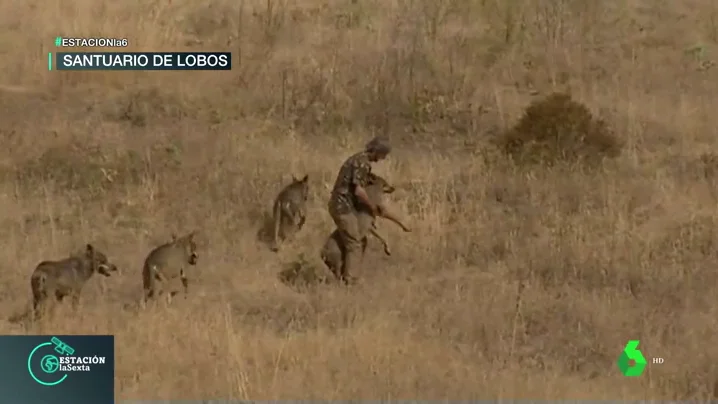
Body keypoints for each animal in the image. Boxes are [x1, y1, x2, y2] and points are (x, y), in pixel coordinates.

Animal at [328, 136, 410, 284]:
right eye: (385, 184)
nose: (393, 188)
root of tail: (321, 252)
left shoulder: (371, 224)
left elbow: (381, 234)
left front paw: (387, 248)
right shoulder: (380, 210)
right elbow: (395, 218)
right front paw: (407, 227)